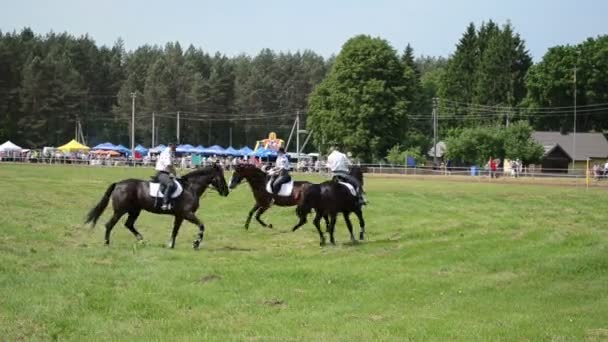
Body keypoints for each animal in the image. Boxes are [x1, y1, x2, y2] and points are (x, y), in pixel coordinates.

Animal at [83, 165, 228, 248]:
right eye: (221, 177)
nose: (226, 192)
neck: (191, 188)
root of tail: (118, 184)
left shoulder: (180, 215)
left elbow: (175, 230)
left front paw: (171, 245)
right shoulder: (187, 214)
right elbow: (201, 225)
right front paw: (196, 243)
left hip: (135, 211)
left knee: (129, 224)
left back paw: (142, 241)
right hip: (120, 211)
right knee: (110, 225)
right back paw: (107, 243)